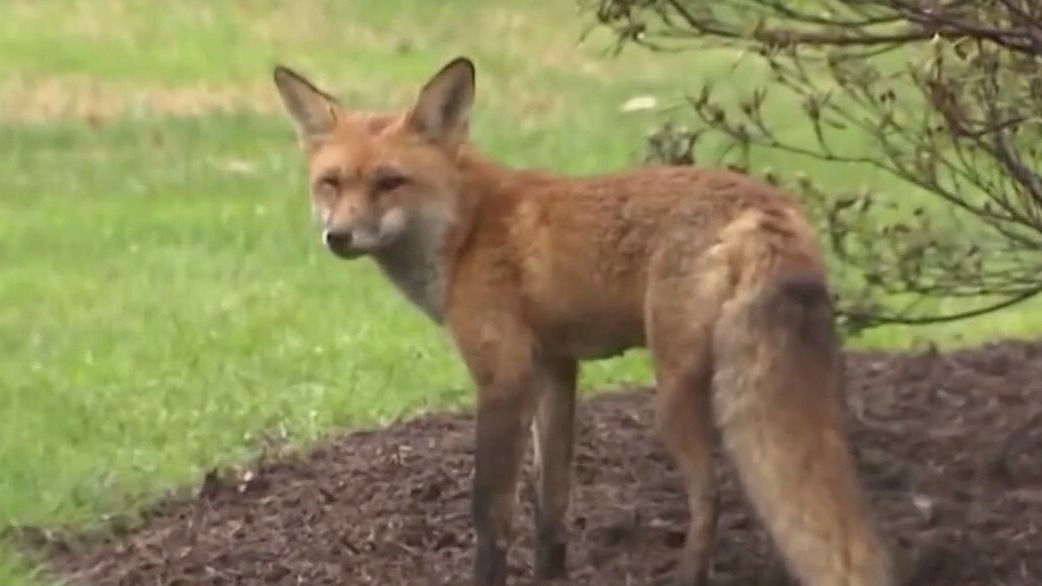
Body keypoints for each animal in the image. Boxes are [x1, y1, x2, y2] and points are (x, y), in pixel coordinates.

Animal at [271, 56, 895, 586]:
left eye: (389, 182)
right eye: (331, 182)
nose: (338, 236)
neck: (467, 230)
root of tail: (769, 207)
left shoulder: (503, 376)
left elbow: (490, 514)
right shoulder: (555, 368)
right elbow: (553, 505)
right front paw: (551, 577)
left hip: (674, 391)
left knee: (710, 498)